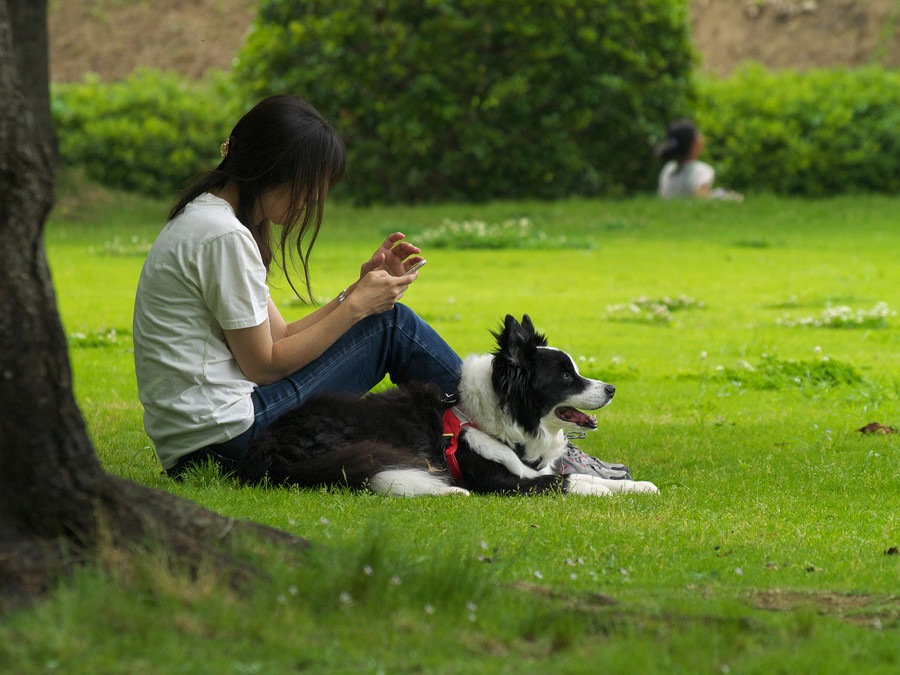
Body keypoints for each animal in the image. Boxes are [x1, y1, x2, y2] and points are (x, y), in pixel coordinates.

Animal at [239, 316, 656, 496]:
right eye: (567, 377)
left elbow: (582, 477)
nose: (612, 389)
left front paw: (639, 485)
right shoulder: (503, 480)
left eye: (576, 371)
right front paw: (607, 490)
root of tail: (265, 448)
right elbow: (566, 480)